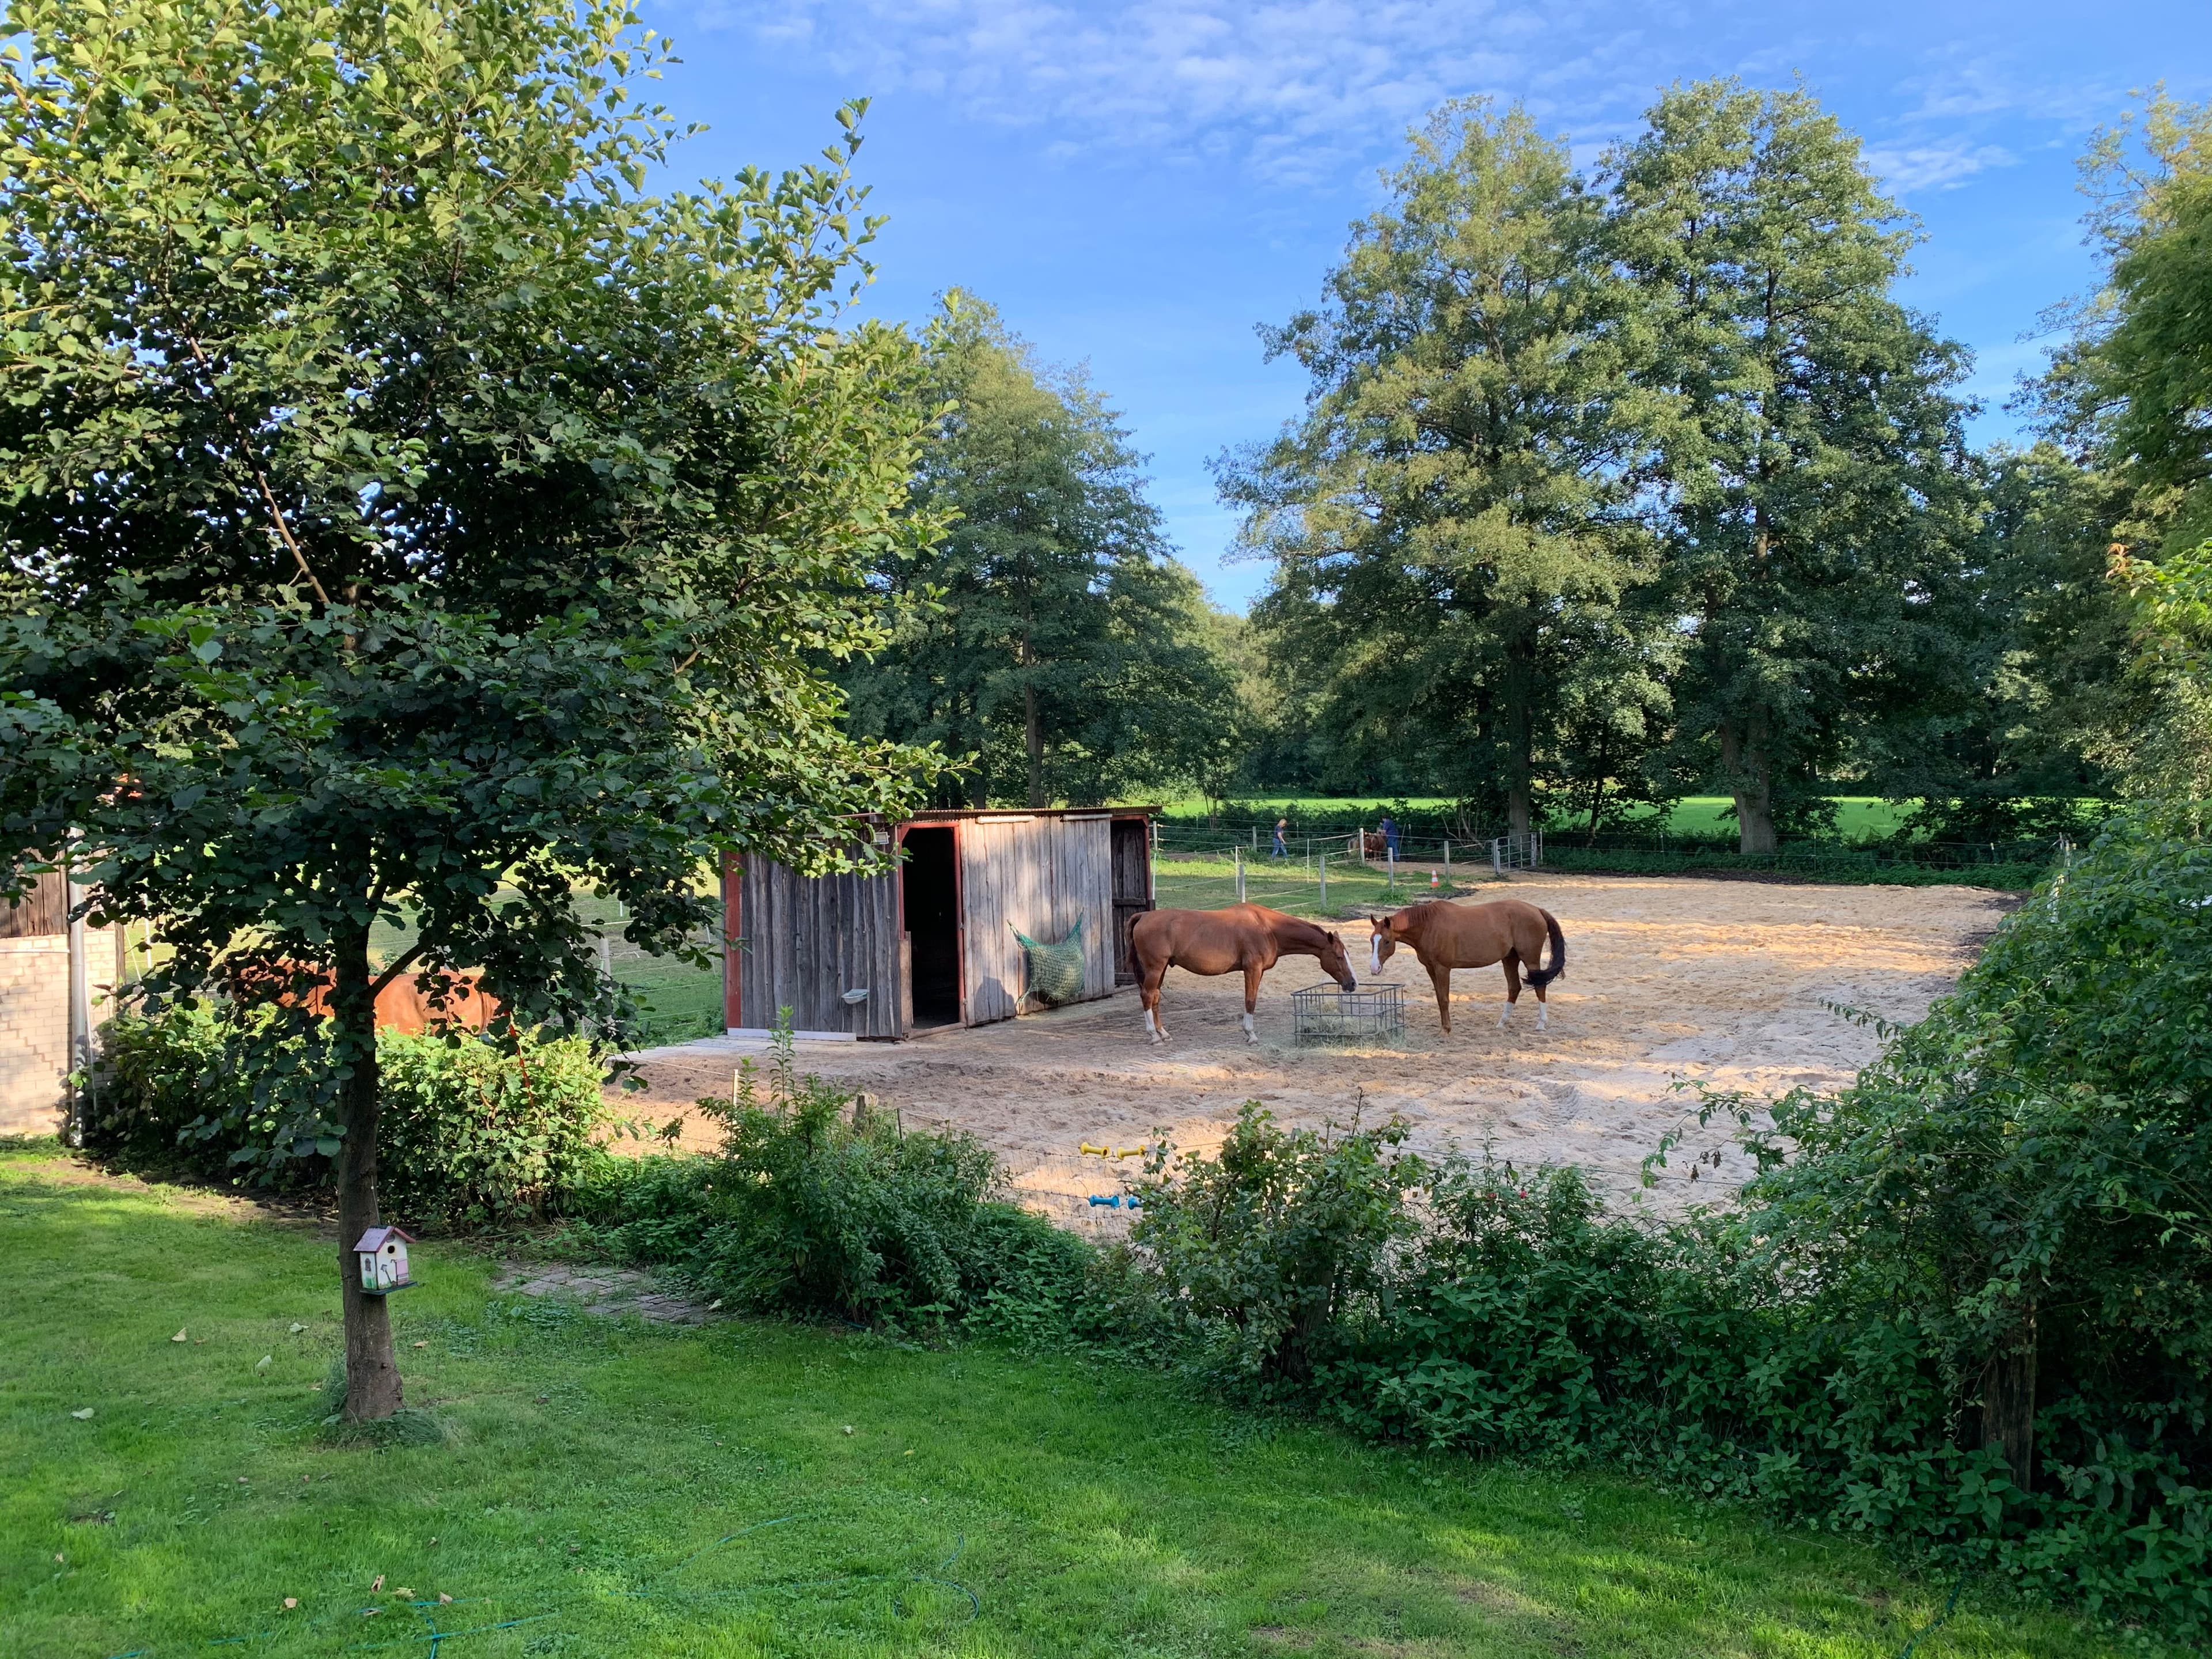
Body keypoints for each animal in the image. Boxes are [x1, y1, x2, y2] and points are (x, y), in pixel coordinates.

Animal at [1132, 902, 1354, 1044]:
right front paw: (1251, 1034)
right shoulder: (1252, 970)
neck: (1268, 928)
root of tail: (1144, 916)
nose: (1352, 984)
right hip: (1155, 968)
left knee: (1155, 997)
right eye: (1339, 957)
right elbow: (1250, 1001)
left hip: (1161, 970)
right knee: (1147, 996)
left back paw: (1163, 1033)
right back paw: (1154, 1036)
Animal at [1362, 902, 1575, 1035]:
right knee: (1514, 987)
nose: (1374, 968)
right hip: (1510, 959)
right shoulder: (1431, 969)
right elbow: (1439, 998)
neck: (1428, 925)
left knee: (1540, 986)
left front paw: (1446, 1030)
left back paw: (1541, 1024)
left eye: (1387, 941)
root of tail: (1537, 910)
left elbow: (1445, 999)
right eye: (1372, 940)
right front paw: (1444, 1027)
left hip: (1530, 960)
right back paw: (1502, 1023)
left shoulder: (1443, 968)